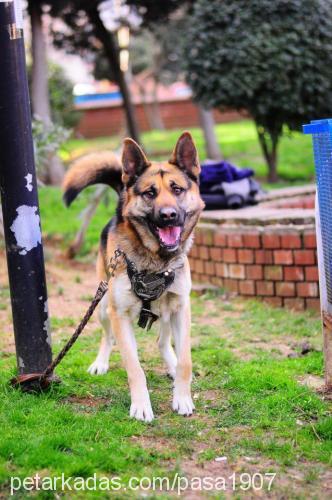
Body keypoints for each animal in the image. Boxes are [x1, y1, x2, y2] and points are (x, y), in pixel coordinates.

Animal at [63, 133, 205, 422]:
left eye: (177, 189)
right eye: (150, 193)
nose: (169, 216)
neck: (156, 261)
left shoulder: (181, 307)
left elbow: (185, 360)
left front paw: (182, 398)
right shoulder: (119, 315)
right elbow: (134, 367)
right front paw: (141, 406)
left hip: (167, 311)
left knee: (163, 342)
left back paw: (171, 365)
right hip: (103, 306)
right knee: (107, 337)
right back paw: (100, 363)